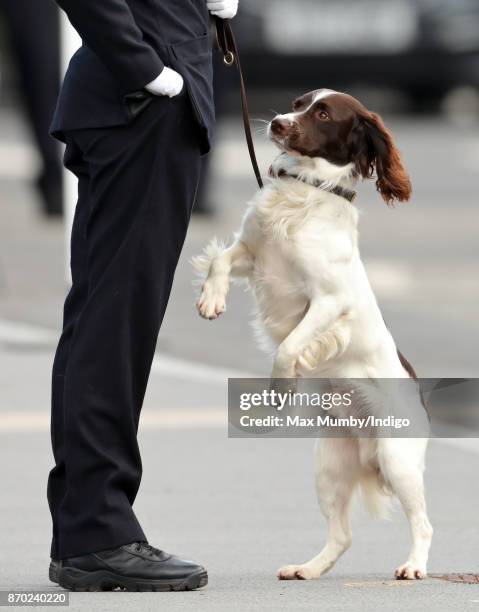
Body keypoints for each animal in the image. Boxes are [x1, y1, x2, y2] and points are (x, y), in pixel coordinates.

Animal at [192, 88, 436, 580]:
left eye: (322, 114)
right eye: (296, 102)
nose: (276, 123)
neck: (305, 189)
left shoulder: (327, 300)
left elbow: (288, 348)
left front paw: (280, 392)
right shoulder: (254, 254)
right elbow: (220, 260)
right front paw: (212, 300)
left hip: (397, 459)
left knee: (423, 522)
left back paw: (414, 566)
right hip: (329, 468)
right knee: (342, 535)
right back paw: (307, 568)